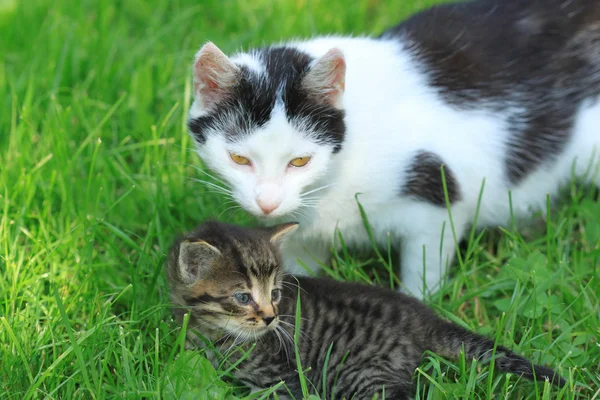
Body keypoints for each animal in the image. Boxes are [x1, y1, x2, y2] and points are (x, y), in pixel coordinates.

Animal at [165, 220, 568, 398]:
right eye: (243, 297)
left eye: (275, 293)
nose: (270, 317)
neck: (218, 335)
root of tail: (424, 318)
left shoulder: (283, 380)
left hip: (361, 375)